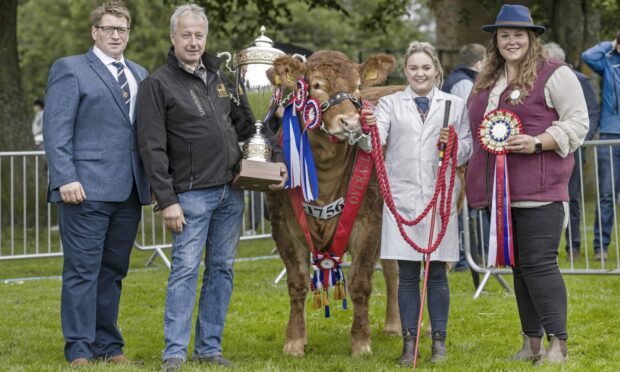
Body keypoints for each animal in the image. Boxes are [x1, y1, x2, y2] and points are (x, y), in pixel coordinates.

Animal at [266, 50, 402, 356]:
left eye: (357, 87)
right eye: (316, 85)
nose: (350, 123)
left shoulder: (368, 225)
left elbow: (360, 284)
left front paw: (361, 343)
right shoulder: (284, 227)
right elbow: (297, 283)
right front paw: (295, 341)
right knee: (392, 268)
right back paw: (393, 325)